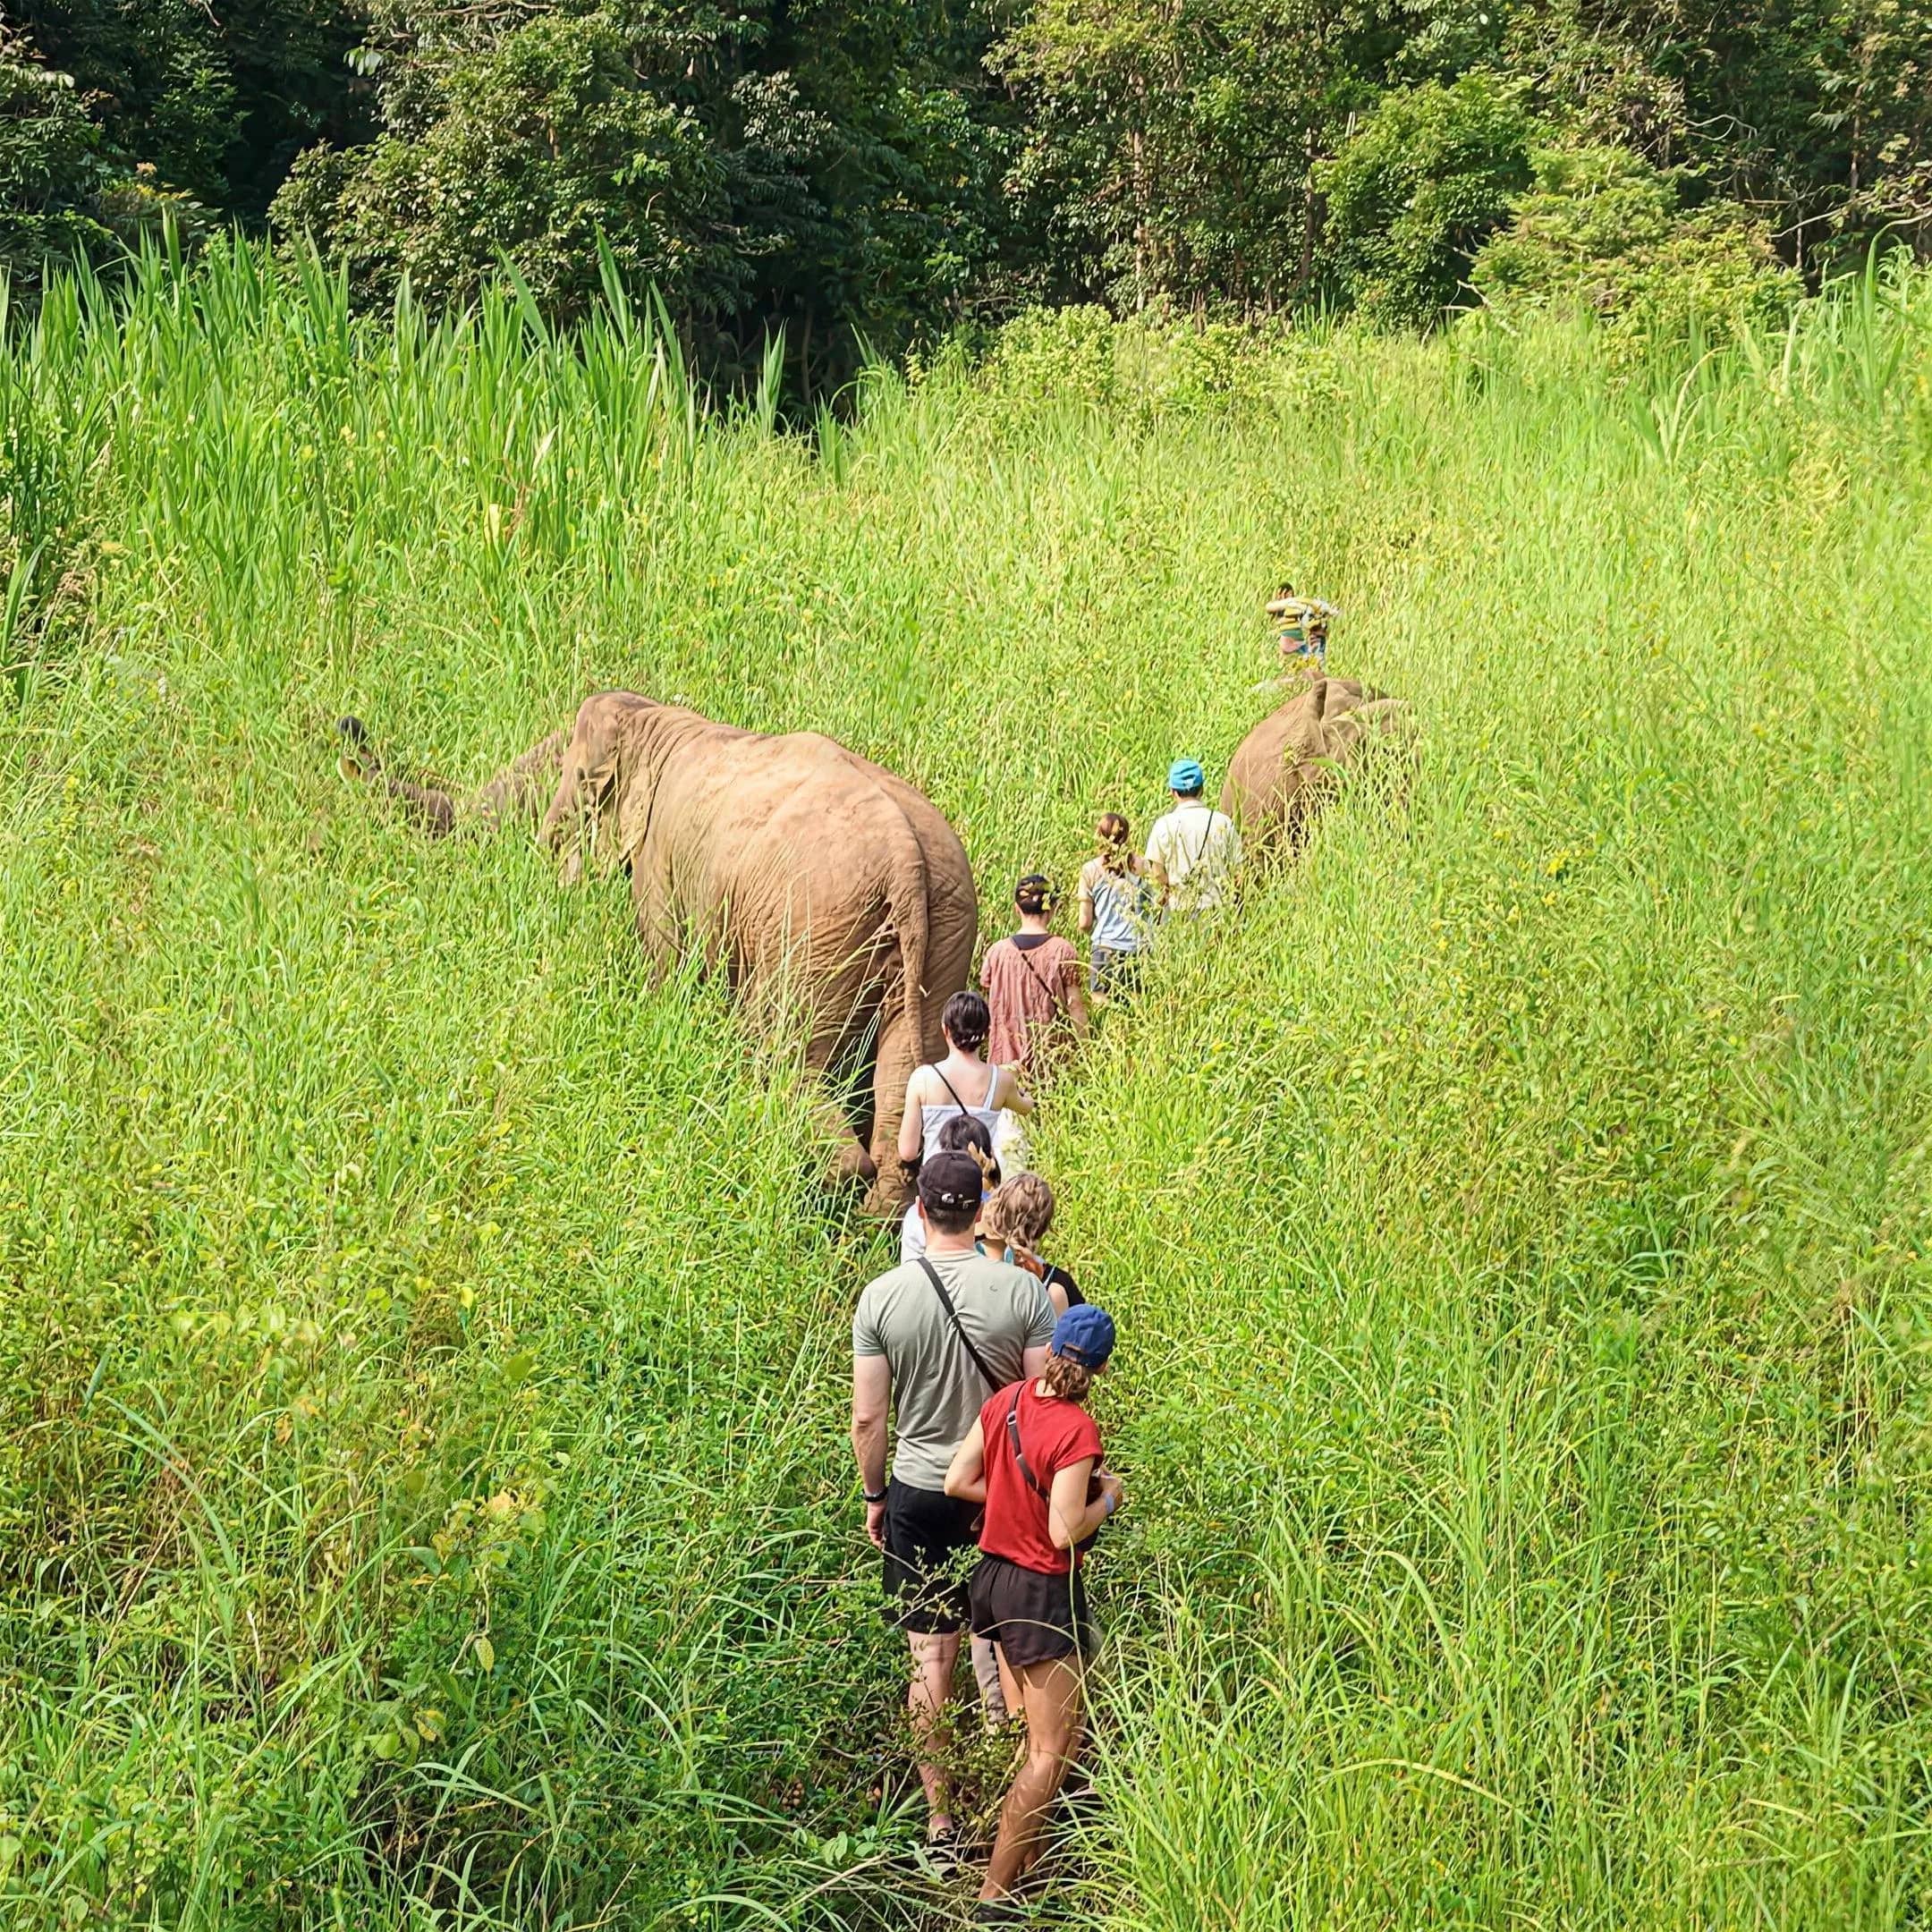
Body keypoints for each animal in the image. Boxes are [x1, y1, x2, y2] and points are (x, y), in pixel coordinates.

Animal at [338, 695, 979, 1206]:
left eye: (575, 776)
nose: (349, 725)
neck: (660, 719)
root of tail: (904, 858)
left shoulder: (659, 863)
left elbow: (666, 968)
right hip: (943, 935)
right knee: (902, 1081)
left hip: (810, 930)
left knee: (783, 1055)